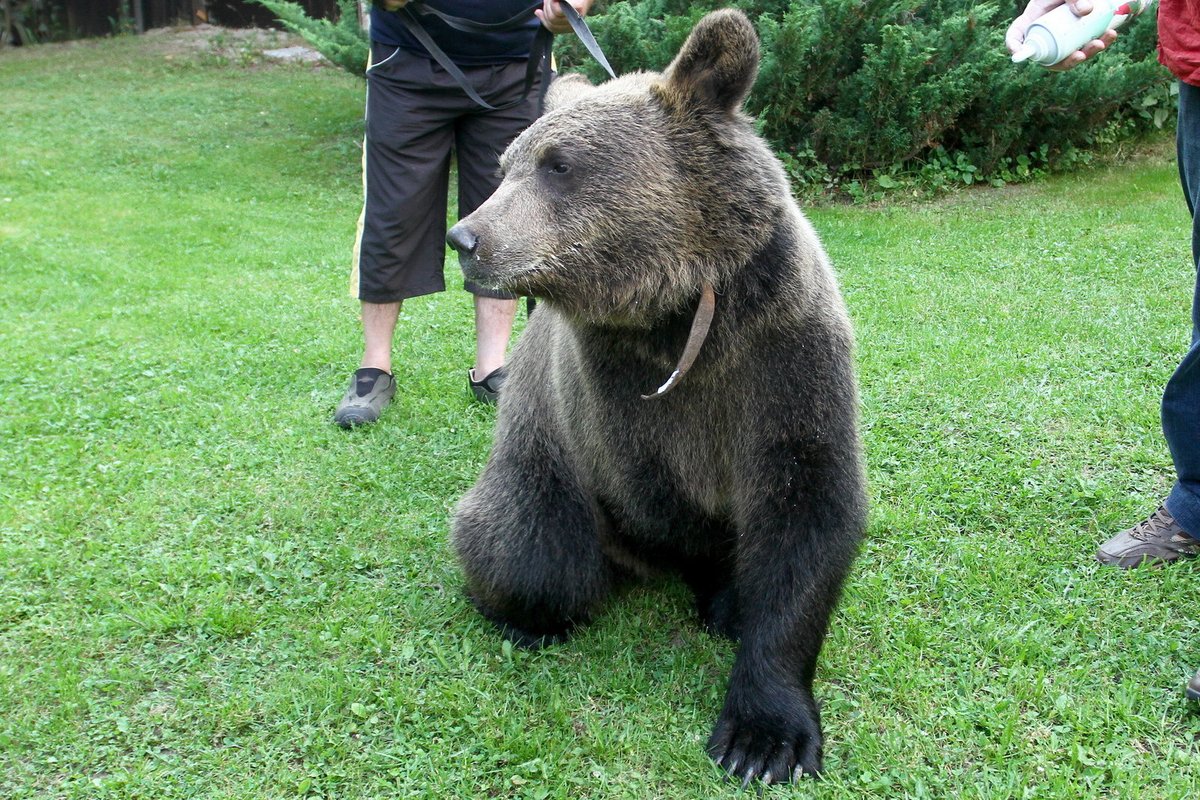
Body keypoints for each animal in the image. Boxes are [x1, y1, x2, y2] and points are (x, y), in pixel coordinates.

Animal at [446, 7, 868, 786]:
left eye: (557, 164)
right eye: (505, 165)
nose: (467, 237)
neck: (675, 310)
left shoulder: (784, 347)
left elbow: (810, 503)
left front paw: (764, 735)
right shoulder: (609, 384)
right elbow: (653, 495)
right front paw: (722, 597)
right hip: (538, 467)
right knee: (532, 555)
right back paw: (516, 613)